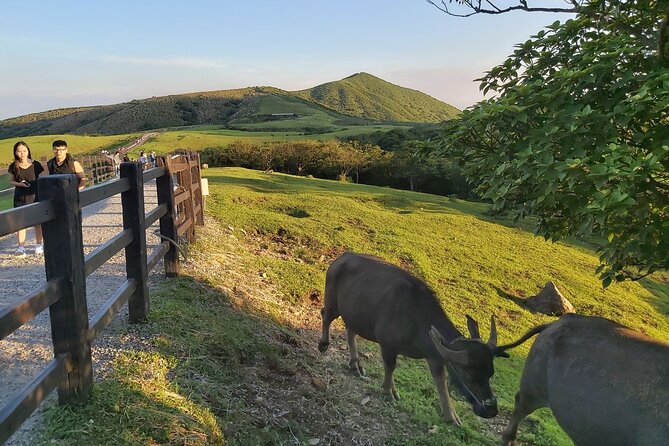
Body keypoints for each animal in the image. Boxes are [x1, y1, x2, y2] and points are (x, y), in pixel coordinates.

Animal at [316, 253, 508, 424]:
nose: (491, 410)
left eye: (490, 374)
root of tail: (341, 258)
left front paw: (451, 416)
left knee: (351, 330)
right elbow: (390, 367)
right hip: (333, 303)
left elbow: (441, 383)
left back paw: (355, 364)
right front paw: (388, 391)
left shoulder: (434, 356)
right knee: (325, 314)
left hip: (354, 314)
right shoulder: (387, 345)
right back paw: (324, 344)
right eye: (469, 376)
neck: (417, 318)